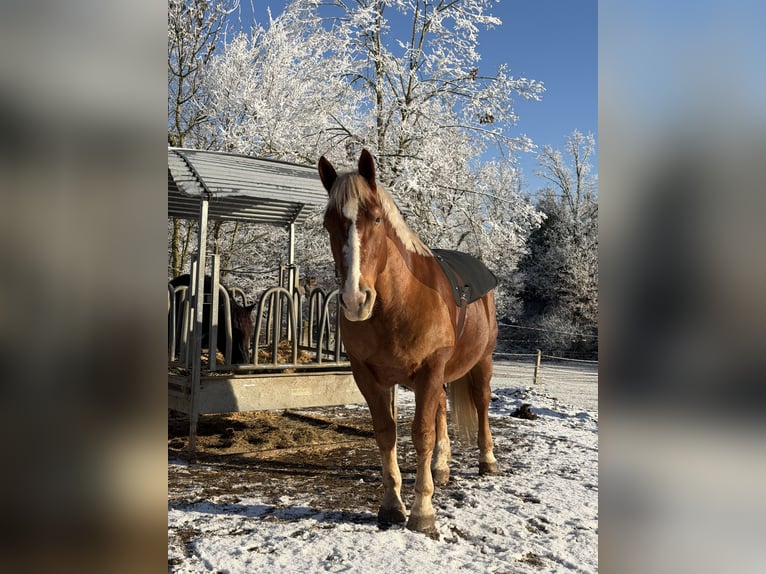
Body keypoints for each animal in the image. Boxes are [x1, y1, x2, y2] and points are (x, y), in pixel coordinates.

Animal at [318, 149, 499, 535]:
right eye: (327, 223)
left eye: (375, 219)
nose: (355, 301)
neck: (400, 304)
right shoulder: (368, 377)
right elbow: (387, 433)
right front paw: (391, 505)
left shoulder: (431, 369)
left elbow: (421, 434)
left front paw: (422, 511)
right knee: (442, 408)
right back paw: (441, 467)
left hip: (482, 362)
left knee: (481, 404)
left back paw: (487, 459)